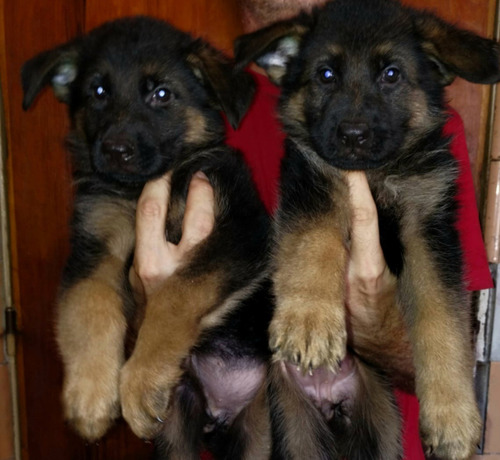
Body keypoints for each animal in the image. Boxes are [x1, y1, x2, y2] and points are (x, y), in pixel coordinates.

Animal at [21, 16, 274, 458]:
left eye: (161, 94)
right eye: (98, 92)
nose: (115, 150)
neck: (137, 190)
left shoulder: (241, 232)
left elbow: (175, 294)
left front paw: (139, 384)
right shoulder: (93, 249)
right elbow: (88, 306)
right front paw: (89, 394)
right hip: (178, 433)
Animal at [234, 0, 500, 458]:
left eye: (391, 74)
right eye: (326, 75)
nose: (353, 135)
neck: (377, 173)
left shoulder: (429, 230)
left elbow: (441, 322)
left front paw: (452, 415)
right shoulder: (313, 182)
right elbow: (313, 244)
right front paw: (309, 319)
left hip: (381, 419)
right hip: (292, 424)